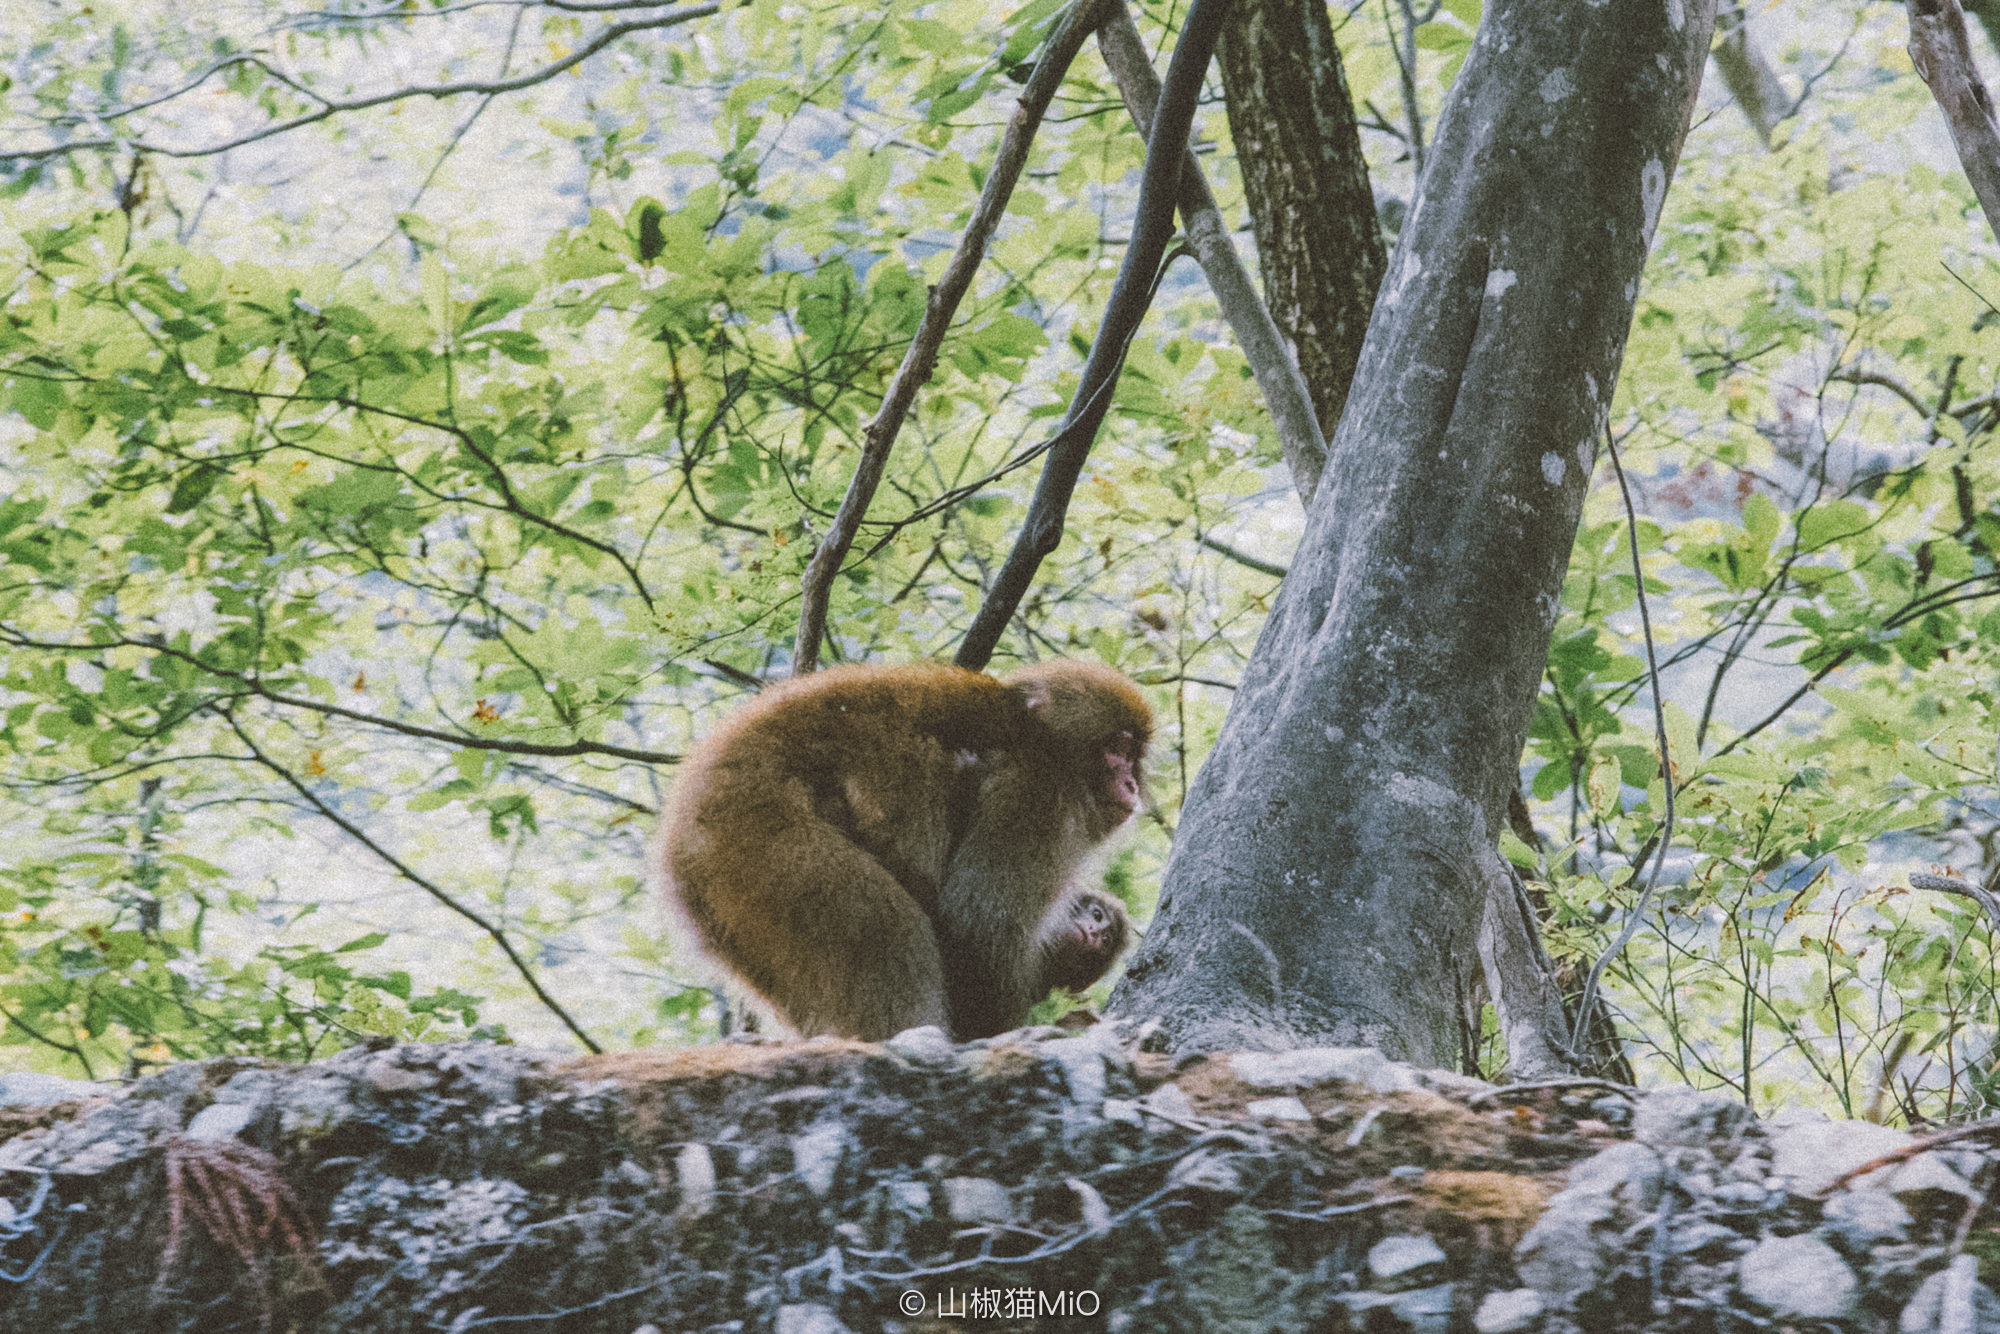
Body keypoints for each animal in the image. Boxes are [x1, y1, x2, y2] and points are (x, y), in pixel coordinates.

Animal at [664, 664, 1152, 1048]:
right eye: (1118, 748)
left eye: (1133, 757)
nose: (1131, 784)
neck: (1040, 734)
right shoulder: (1041, 790)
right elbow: (977, 928)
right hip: (762, 839)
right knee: (883, 930)